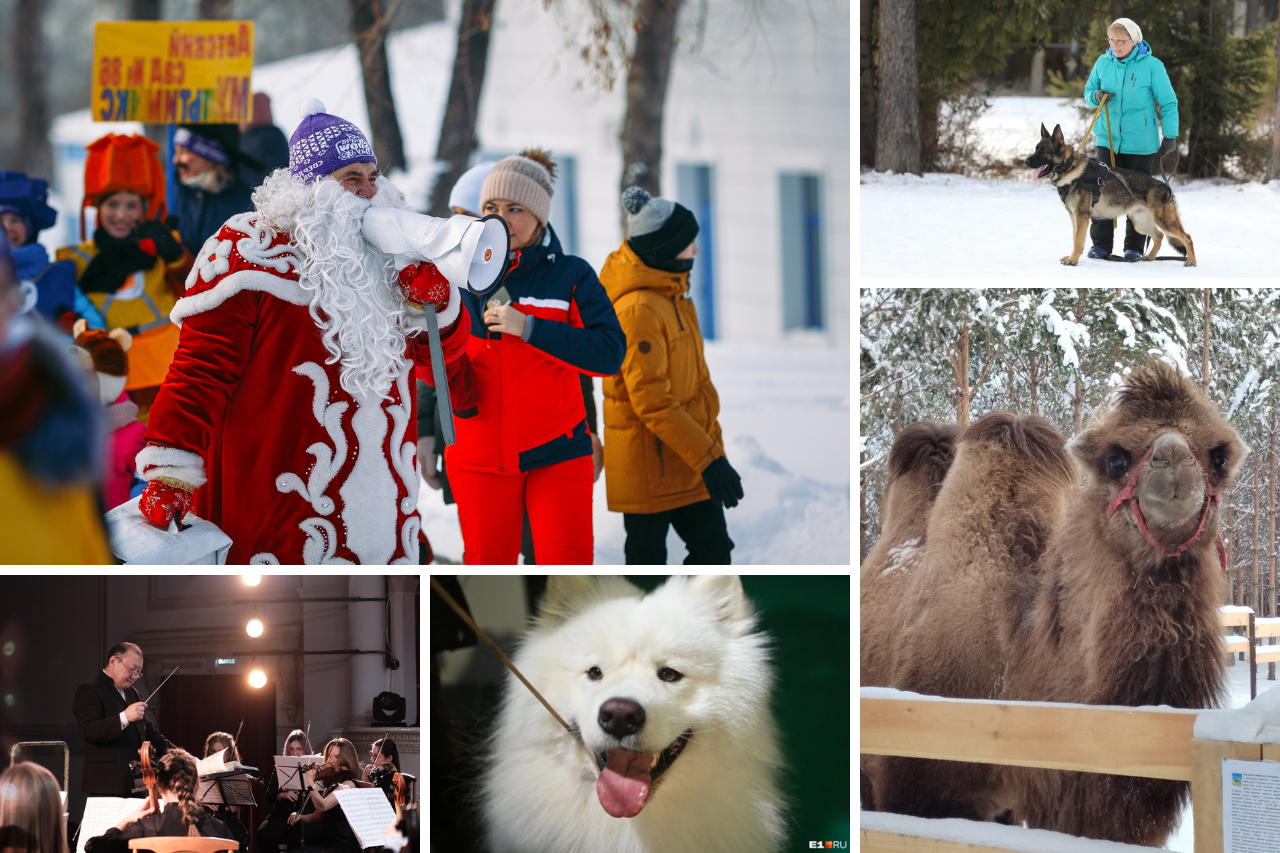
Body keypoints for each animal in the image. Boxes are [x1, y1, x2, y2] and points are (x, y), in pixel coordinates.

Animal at [1024, 122, 1192, 266]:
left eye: (1044, 151)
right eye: (1035, 149)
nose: (1025, 161)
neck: (1068, 166)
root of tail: (1166, 186)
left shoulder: (1082, 216)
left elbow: (1078, 240)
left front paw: (1073, 260)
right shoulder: (1074, 217)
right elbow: (1075, 238)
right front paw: (1072, 257)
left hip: (1165, 222)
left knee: (1187, 238)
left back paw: (1191, 261)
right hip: (1140, 223)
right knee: (1159, 236)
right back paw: (1150, 257)